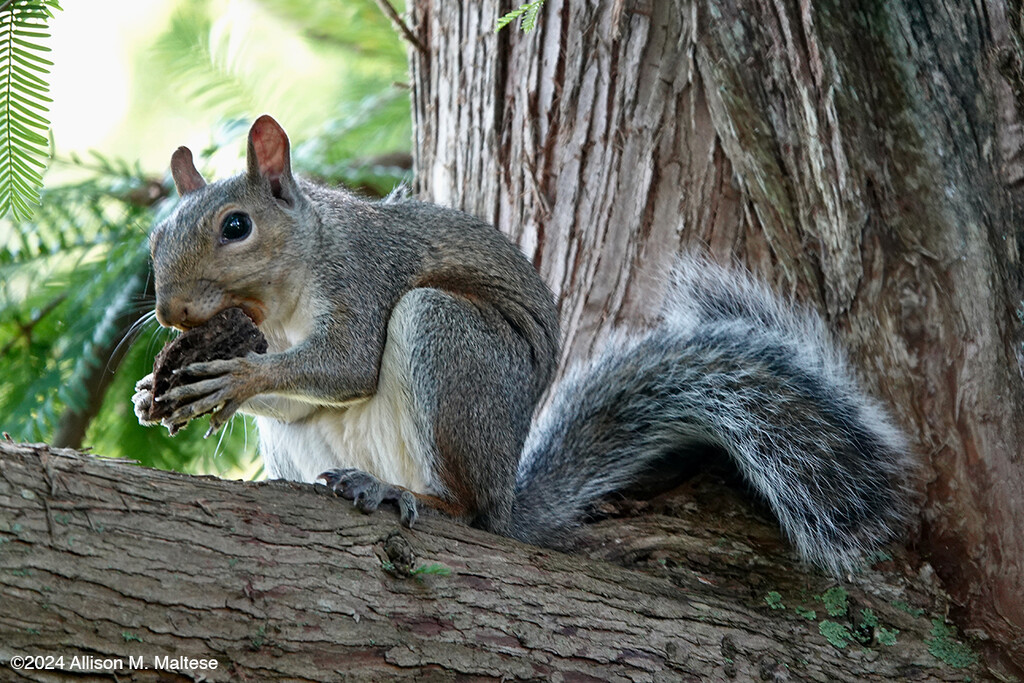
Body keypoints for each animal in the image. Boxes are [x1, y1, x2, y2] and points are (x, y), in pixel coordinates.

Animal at [132, 116, 909, 577]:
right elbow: (296, 394)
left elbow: (348, 364)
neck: (281, 301)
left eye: (236, 226)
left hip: (445, 338)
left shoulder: (363, 276)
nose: (170, 310)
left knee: (468, 509)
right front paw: (158, 390)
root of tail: (509, 494)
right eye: (156, 236)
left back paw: (404, 492)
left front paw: (234, 378)